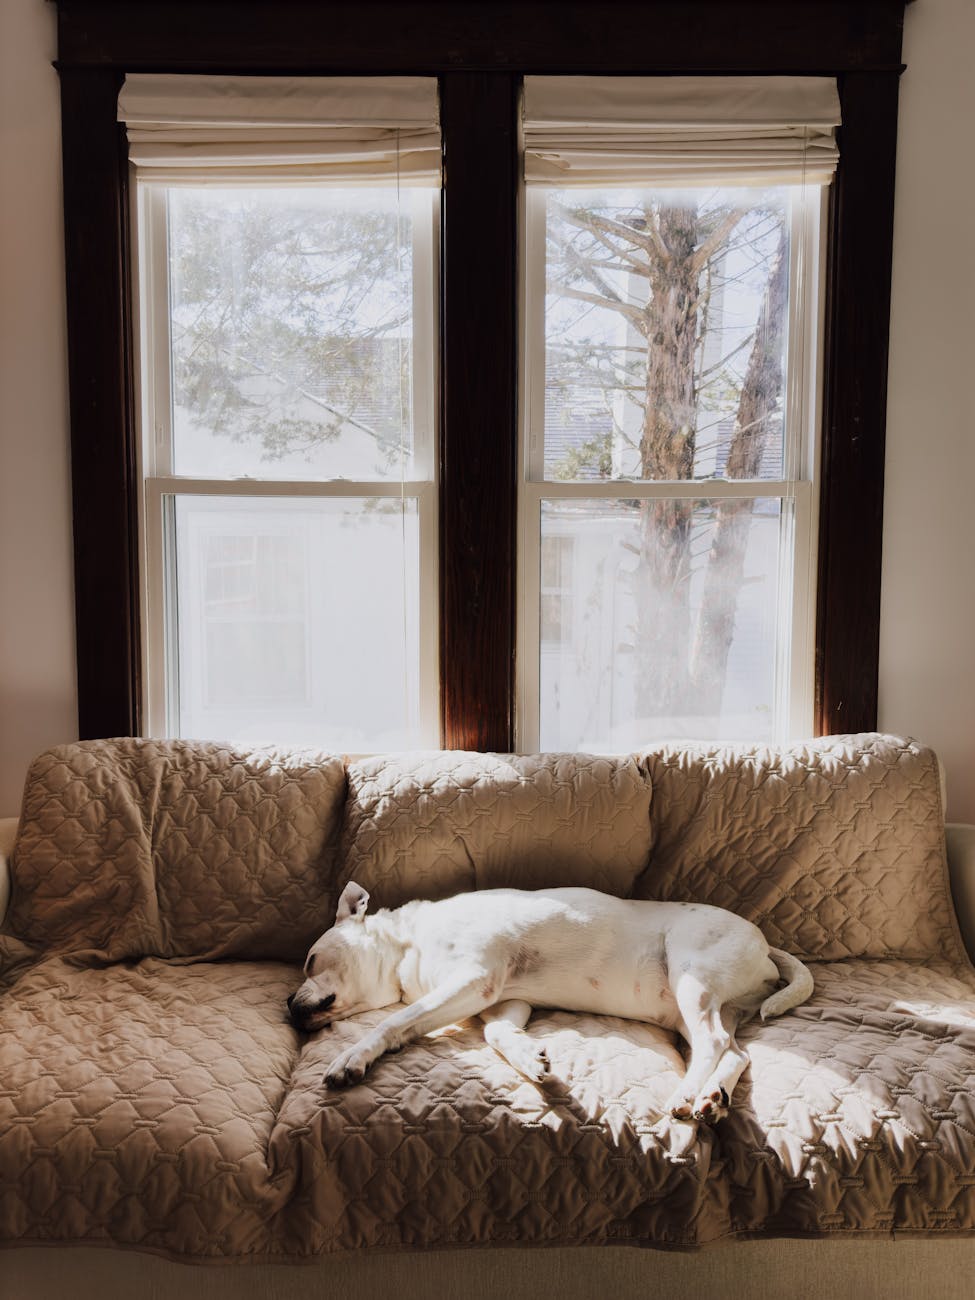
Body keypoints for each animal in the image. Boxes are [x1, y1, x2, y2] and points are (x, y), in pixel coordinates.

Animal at [289, 878, 816, 1123]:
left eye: (311, 959)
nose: (289, 1007)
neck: (407, 945)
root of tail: (766, 947)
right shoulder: (501, 1002)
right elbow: (498, 1034)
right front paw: (531, 1059)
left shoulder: (473, 979)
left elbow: (395, 1022)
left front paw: (352, 1058)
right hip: (696, 1008)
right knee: (736, 1052)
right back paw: (712, 1096)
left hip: (692, 979)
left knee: (712, 1044)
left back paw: (687, 1096)